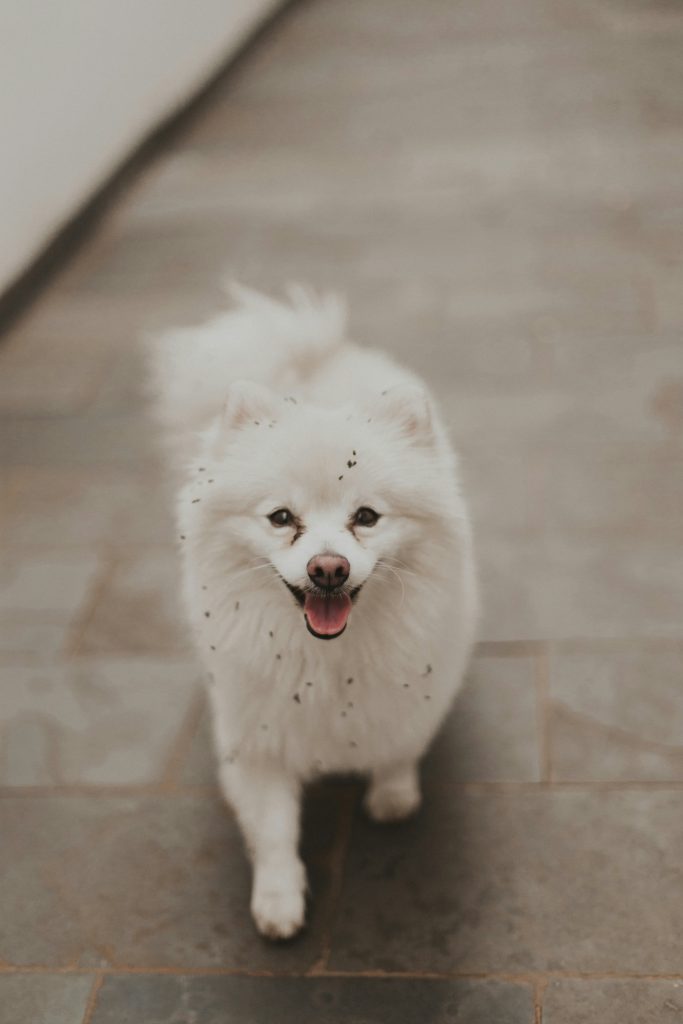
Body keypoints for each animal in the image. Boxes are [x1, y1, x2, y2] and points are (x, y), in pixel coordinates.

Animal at [150, 284, 479, 937]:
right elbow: (273, 829)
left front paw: (393, 795)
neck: (328, 663)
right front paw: (278, 901)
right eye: (282, 518)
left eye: (366, 517)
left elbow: (399, 745)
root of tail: (314, 356)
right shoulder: (256, 735)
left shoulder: (410, 693)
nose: (329, 568)